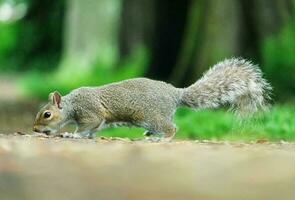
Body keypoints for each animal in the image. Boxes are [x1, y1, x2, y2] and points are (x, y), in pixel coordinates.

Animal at [33, 57, 272, 140]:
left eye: (47, 114)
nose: (34, 130)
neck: (72, 104)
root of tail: (175, 93)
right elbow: (92, 131)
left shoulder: (91, 112)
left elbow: (86, 127)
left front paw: (72, 135)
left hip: (150, 116)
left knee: (171, 128)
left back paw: (160, 138)